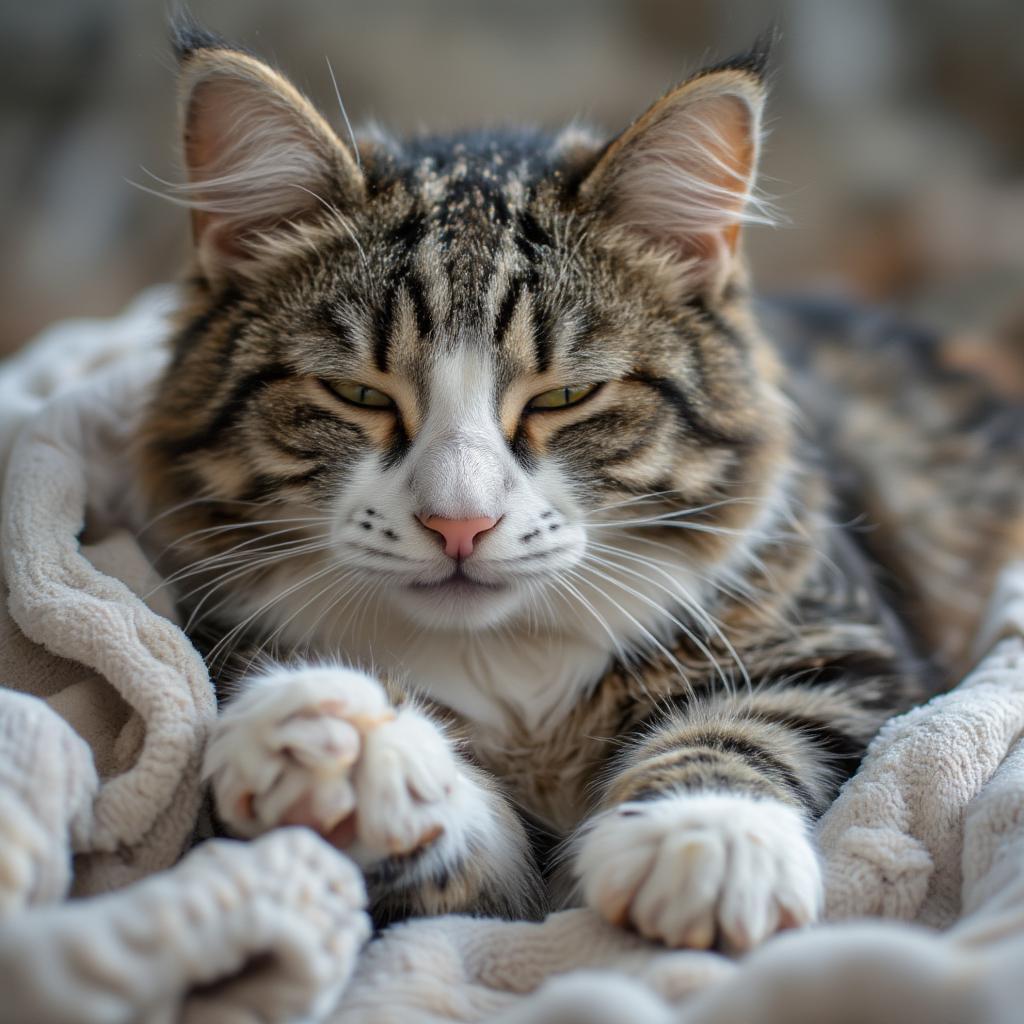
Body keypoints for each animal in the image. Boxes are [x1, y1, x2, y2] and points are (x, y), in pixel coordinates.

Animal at [138, 18, 1024, 950]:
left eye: (565, 397)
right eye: (359, 395)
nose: (460, 524)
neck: (508, 665)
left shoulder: (851, 656)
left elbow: (746, 727)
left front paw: (704, 839)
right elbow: (471, 856)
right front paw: (343, 744)